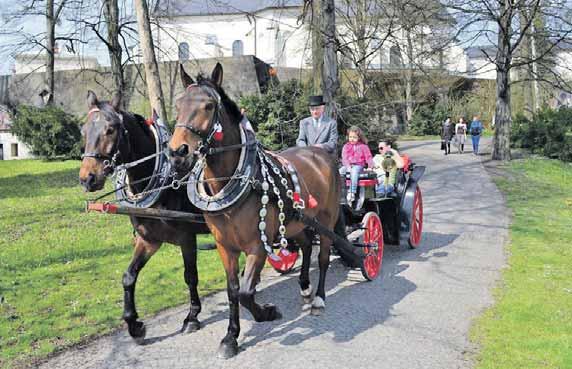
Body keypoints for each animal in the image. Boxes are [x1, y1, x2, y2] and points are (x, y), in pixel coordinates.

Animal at [77, 91, 209, 342]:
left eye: (110, 129)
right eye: (83, 130)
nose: (87, 178)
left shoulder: (187, 238)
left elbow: (190, 276)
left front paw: (192, 317)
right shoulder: (149, 239)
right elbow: (129, 276)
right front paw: (133, 324)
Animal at [168, 63, 342, 356]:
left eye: (208, 106)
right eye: (178, 104)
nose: (177, 153)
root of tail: (321, 153)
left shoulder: (257, 246)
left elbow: (246, 292)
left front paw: (267, 313)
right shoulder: (225, 246)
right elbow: (232, 290)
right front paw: (231, 336)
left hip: (327, 219)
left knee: (323, 256)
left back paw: (318, 297)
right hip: (295, 221)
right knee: (307, 245)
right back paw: (305, 287)